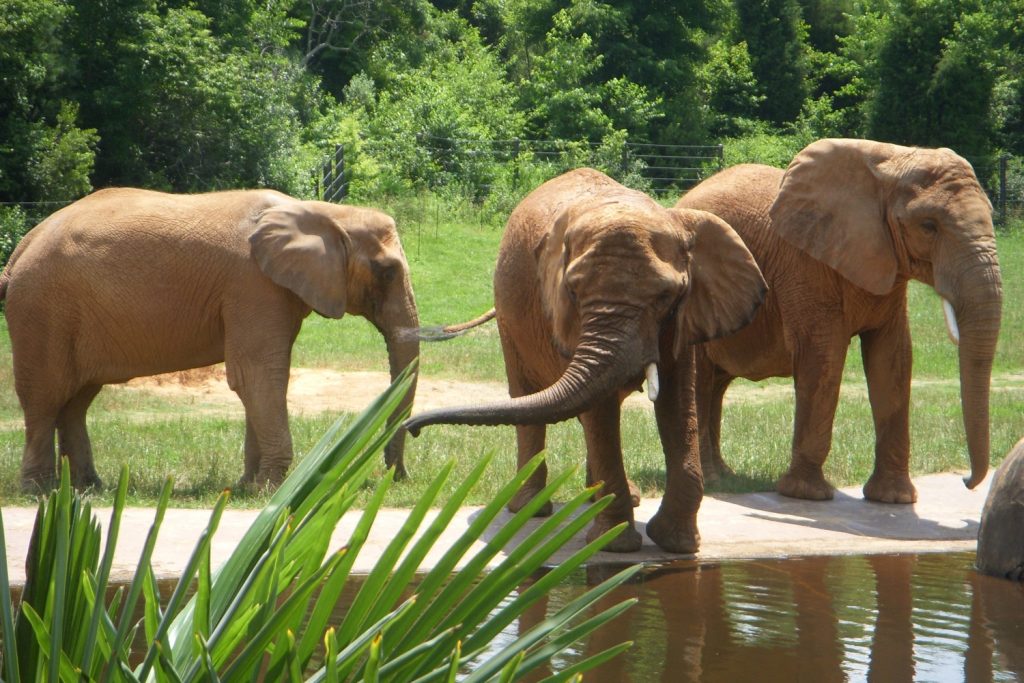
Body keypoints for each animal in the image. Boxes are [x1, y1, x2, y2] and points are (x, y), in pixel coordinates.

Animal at [0, 187, 417, 491]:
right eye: (386, 271)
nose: (397, 478)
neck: (324, 212)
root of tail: (21, 249)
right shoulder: (252, 285)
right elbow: (258, 376)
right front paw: (272, 489)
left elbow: (260, 379)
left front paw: (247, 487)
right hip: (42, 309)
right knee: (45, 397)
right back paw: (40, 491)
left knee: (77, 400)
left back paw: (87, 488)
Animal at [403, 169, 765, 557]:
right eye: (573, 291)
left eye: (666, 296)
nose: (412, 428)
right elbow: (601, 413)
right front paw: (616, 545)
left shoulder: (686, 314)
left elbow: (677, 403)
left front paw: (678, 546)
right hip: (508, 315)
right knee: (527, 392)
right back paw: (532, 508)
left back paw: (612, 499)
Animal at [675, 137, 1003, 501]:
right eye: (928, 226)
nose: (966, 481)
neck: (890, 163)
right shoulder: (805, 263)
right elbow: (824, 355)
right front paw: (806, 495)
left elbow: (893, 357)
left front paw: (893, 499)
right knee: (702, 380)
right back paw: (713, 481)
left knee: (717, 384)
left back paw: (725, 476)